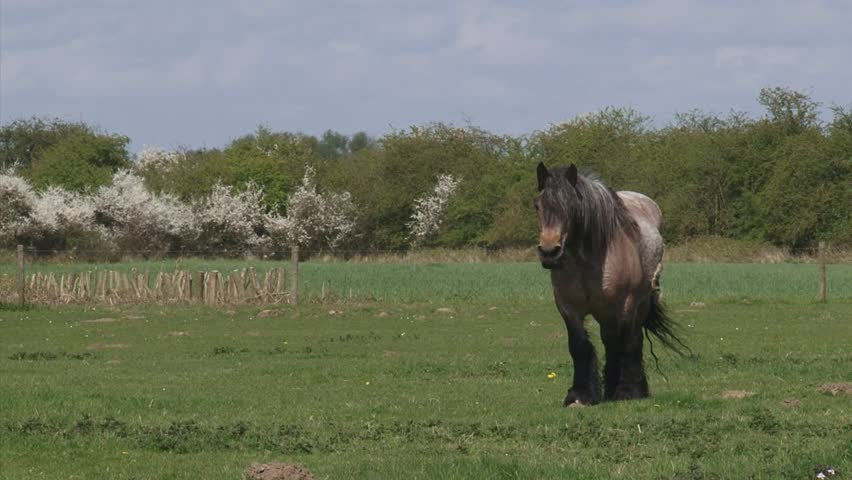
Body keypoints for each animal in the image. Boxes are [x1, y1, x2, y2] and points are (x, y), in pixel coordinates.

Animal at [534, 162, 686, 406]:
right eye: (537, 206)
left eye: (572, 205)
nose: (549, 252)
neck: (587, 262)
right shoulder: (568, 309)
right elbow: (579, 346)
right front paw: (579, 395)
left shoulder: (626, 305)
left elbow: (627, 343)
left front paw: (627, 391)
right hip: (604, 312)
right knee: (610, 341)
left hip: (637, 304)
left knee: (629, 340)